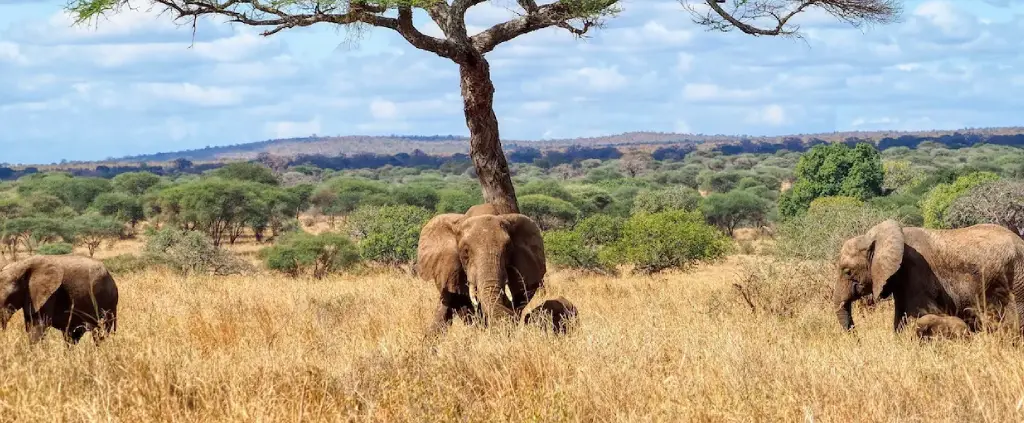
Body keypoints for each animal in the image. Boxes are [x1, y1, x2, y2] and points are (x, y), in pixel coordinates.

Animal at [831, 219, 1024, 333]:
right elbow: (900, 319)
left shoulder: (916, 272)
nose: (857, 338)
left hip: (1017, 278)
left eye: (847, 272)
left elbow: (920, 315)